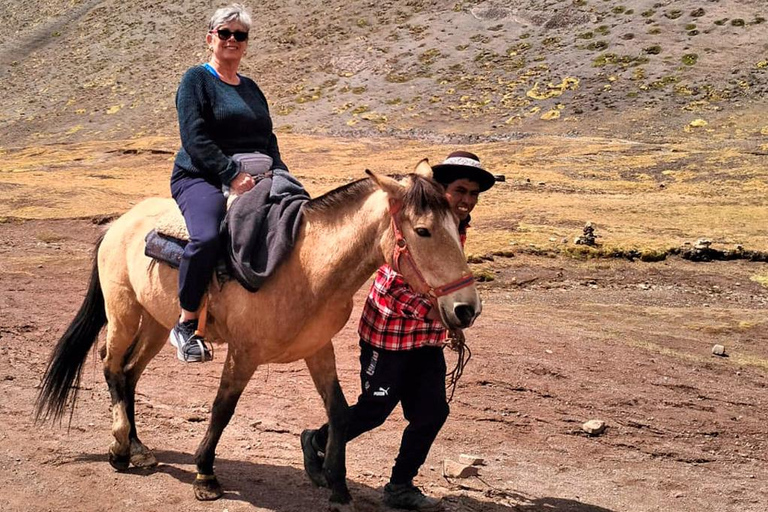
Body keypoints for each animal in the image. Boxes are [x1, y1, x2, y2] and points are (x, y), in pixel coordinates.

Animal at [37, 159, 480, 508]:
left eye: (458, 223)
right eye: (422, 230)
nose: (466, 308)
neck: (303, 266)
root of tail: (118, 224)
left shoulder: (318, 348)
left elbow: (339, 412)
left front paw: (337, 488)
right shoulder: (244, 352)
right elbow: (222, 408)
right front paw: (205, 475)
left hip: (157, 325)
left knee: (129, 375)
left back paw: (139, 448)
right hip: (124, 313)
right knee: (112, 367)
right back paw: (118, 449)